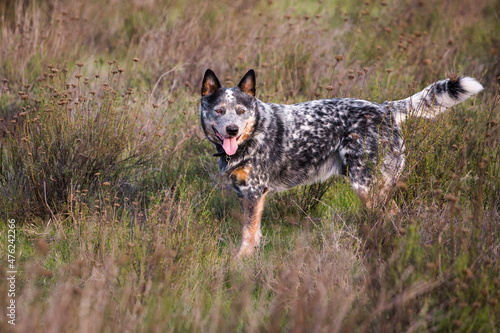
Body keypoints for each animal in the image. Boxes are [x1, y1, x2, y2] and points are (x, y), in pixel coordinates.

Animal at [200, 68, 484, 256]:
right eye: (219, 111)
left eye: (241, 111)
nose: (232, 130)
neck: (253, 133)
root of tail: (385, 108)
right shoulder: (249, 194)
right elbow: (254, 231)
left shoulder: (254, 192)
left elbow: (247, 234)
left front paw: (241, 263)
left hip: (366, 186)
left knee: (391, 216)